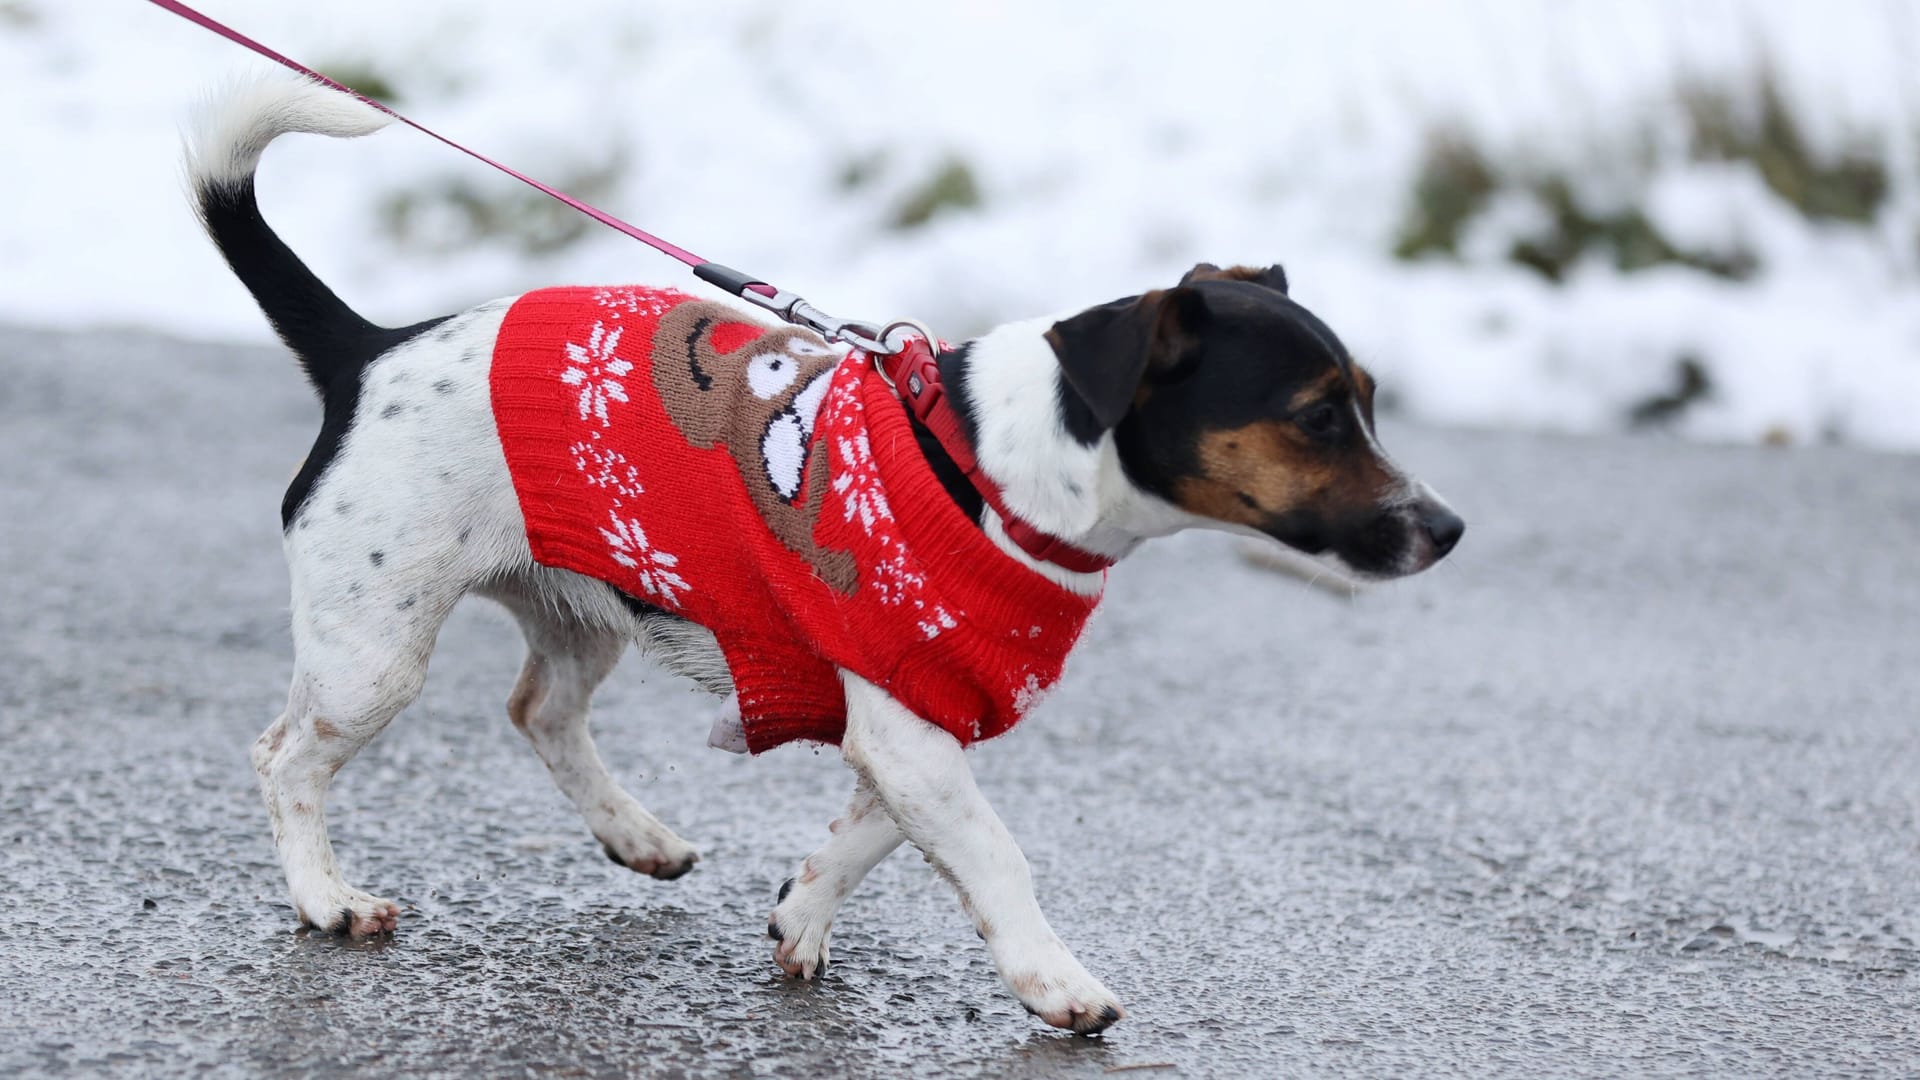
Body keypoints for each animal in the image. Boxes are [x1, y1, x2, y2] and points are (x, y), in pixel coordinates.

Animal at [187, 75, 1459, 1022]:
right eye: (1316, 416)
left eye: (1371, 402)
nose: (1447, 530)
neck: (990, 469)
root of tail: (368, 350)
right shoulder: (911, 731)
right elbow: (996, 857)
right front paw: (1056, 983)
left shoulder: (914, 719)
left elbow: (867, 839)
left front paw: (800, 914)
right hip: (373, 650)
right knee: (284, 758)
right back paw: (326, 899)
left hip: (578, 608)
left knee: (540, 711)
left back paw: (637, 836)